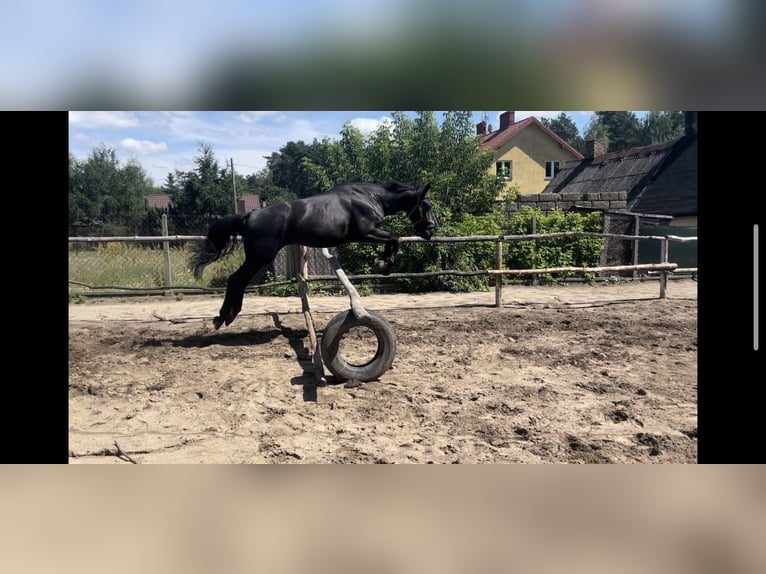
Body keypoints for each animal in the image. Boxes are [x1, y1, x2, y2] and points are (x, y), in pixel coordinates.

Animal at [189, 180, 436, 332]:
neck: (370, 197)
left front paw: (383, 262)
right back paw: (224, 317)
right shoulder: (366, 232)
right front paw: (383, 264)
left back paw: (225, 317)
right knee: (236, 280)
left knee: (237, 281)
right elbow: (395, 239)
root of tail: (249, 215)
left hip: (258, 258)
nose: (431, 231)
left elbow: (393, 239)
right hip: (260, 258)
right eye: (426, 206)